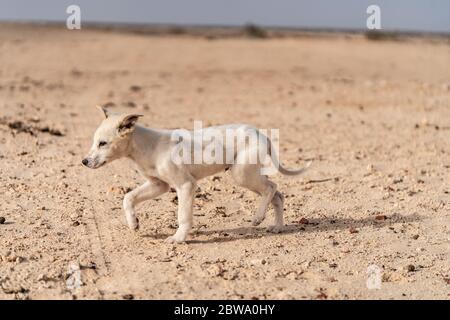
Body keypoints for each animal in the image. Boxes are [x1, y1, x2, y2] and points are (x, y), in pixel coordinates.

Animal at [83, 107, 310, 242]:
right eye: (95, 142)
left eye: (102, 143)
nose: (84, 162)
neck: (145, 146)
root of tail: (259, 132)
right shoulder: (159, 185)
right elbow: (128, 198)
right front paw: (133, 223)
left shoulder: (185, 185)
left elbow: (183, 215)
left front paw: (178, 238)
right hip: (248, 174)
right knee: (278, 195)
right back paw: (277, 227)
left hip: (242, 174)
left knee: (271, 188)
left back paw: (258, 217)